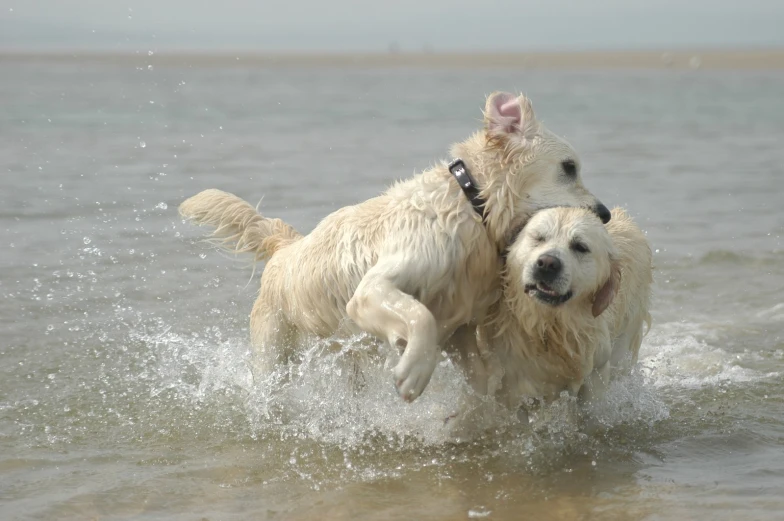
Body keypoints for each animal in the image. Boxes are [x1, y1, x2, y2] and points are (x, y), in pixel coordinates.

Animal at [181, 92, 608, 402]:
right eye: (569, 167)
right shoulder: (372, 291)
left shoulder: (463, 323)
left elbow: (480, 372)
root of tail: (286, 247)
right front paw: (413, 373)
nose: (604, 214)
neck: (472, 206)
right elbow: (421, 316)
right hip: (274, 350)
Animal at [480, 205, 652, 408]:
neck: (548, 328)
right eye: (539, 237)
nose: (547, 263)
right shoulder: (508, 380)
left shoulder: (597, 373)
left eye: (580, 247)